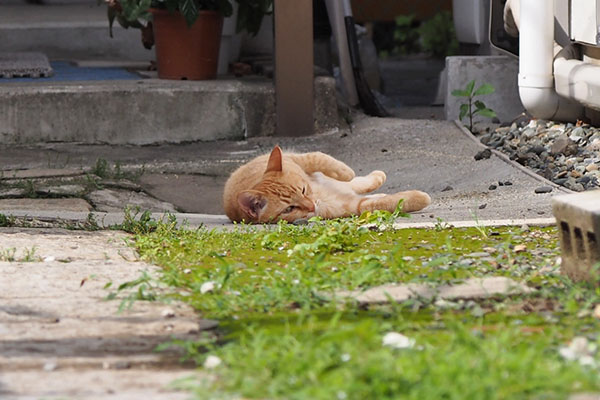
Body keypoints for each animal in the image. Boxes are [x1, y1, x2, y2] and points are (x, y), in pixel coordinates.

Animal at [223, 145, 428, 223]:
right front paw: (419, 198)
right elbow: (380, 203)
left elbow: (318, 157)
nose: (311, 205)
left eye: (303, 189)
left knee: (356, 184)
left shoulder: (298, 160)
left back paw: (376, 176)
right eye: (289, 209)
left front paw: (346, 172)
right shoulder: (349, 206)